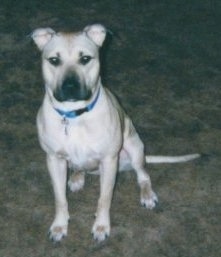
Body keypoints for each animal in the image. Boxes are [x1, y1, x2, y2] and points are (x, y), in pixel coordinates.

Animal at [31, 23, 200, 240]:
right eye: (54, 60)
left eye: (85, 59)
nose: (70, 86)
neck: (75, 116)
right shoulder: (54, 160)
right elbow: (60, 199)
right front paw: (59, 225)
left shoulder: (109, 160)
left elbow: (104, 198)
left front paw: (101, 226)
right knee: (80, 168)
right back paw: (77, 176)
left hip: (134, 147)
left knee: (143, 176)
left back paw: (147, 195)